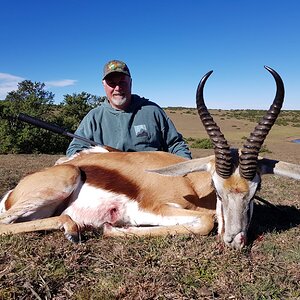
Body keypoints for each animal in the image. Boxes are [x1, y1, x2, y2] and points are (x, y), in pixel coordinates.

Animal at [0, 66, 298, 248]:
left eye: (256, 190)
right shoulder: (148, 208)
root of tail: (12, 194)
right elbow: (206, 221)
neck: (189, 184)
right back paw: (73, 229)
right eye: (217, 189)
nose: (234, 240)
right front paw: (115, 229)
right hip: (64, 180)